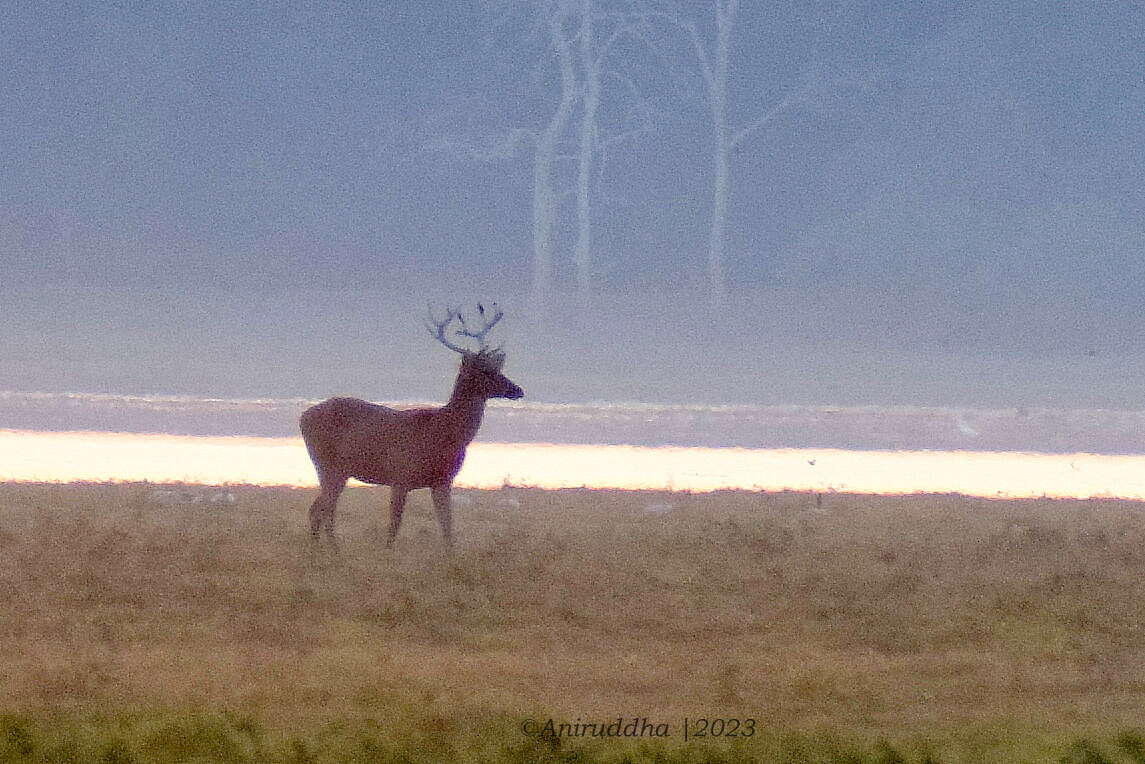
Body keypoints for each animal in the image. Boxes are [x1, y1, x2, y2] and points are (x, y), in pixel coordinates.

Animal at [299, 304, 524, 549]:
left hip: (337, 470)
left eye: (497, 367)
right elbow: (394, 525)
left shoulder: (442, 481)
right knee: (324, 510)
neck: (442, 433)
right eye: (484, 370)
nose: (518, 390)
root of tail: (303, 417)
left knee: (318, 509)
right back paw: (332, 551)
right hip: (328, 464)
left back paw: (321, 550)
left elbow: (447, 527)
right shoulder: (400, 475)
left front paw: (451, 555)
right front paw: (387, 553)